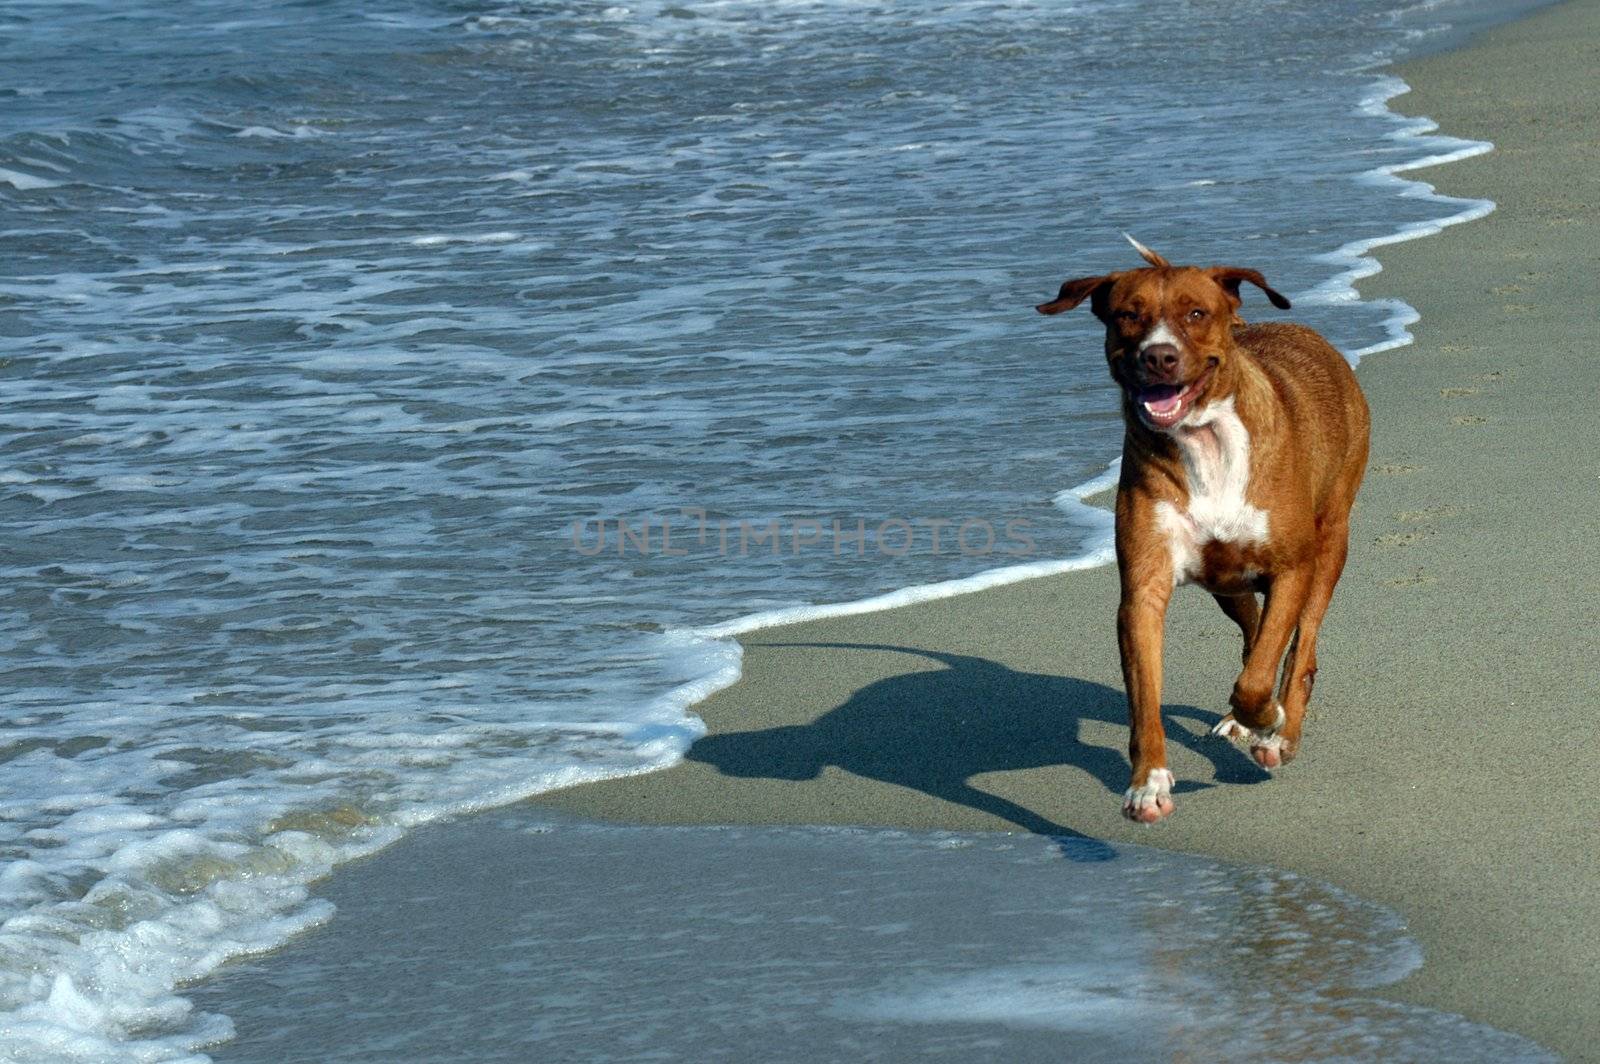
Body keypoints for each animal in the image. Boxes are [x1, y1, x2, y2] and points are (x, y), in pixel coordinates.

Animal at [1036, 240, 1376, 819]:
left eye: (1196, 313)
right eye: (1128, 315)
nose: (1159, 356)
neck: (1204, 441)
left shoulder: (1291, 568)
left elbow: (1261, 676)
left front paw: (1270, 719)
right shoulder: (1143, 591)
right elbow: (1146, 699)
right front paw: (1147, 782)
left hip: (1331, 540)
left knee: (1299, 646)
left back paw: (1280, 730)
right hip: (1226, 583)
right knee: (1253, 629)